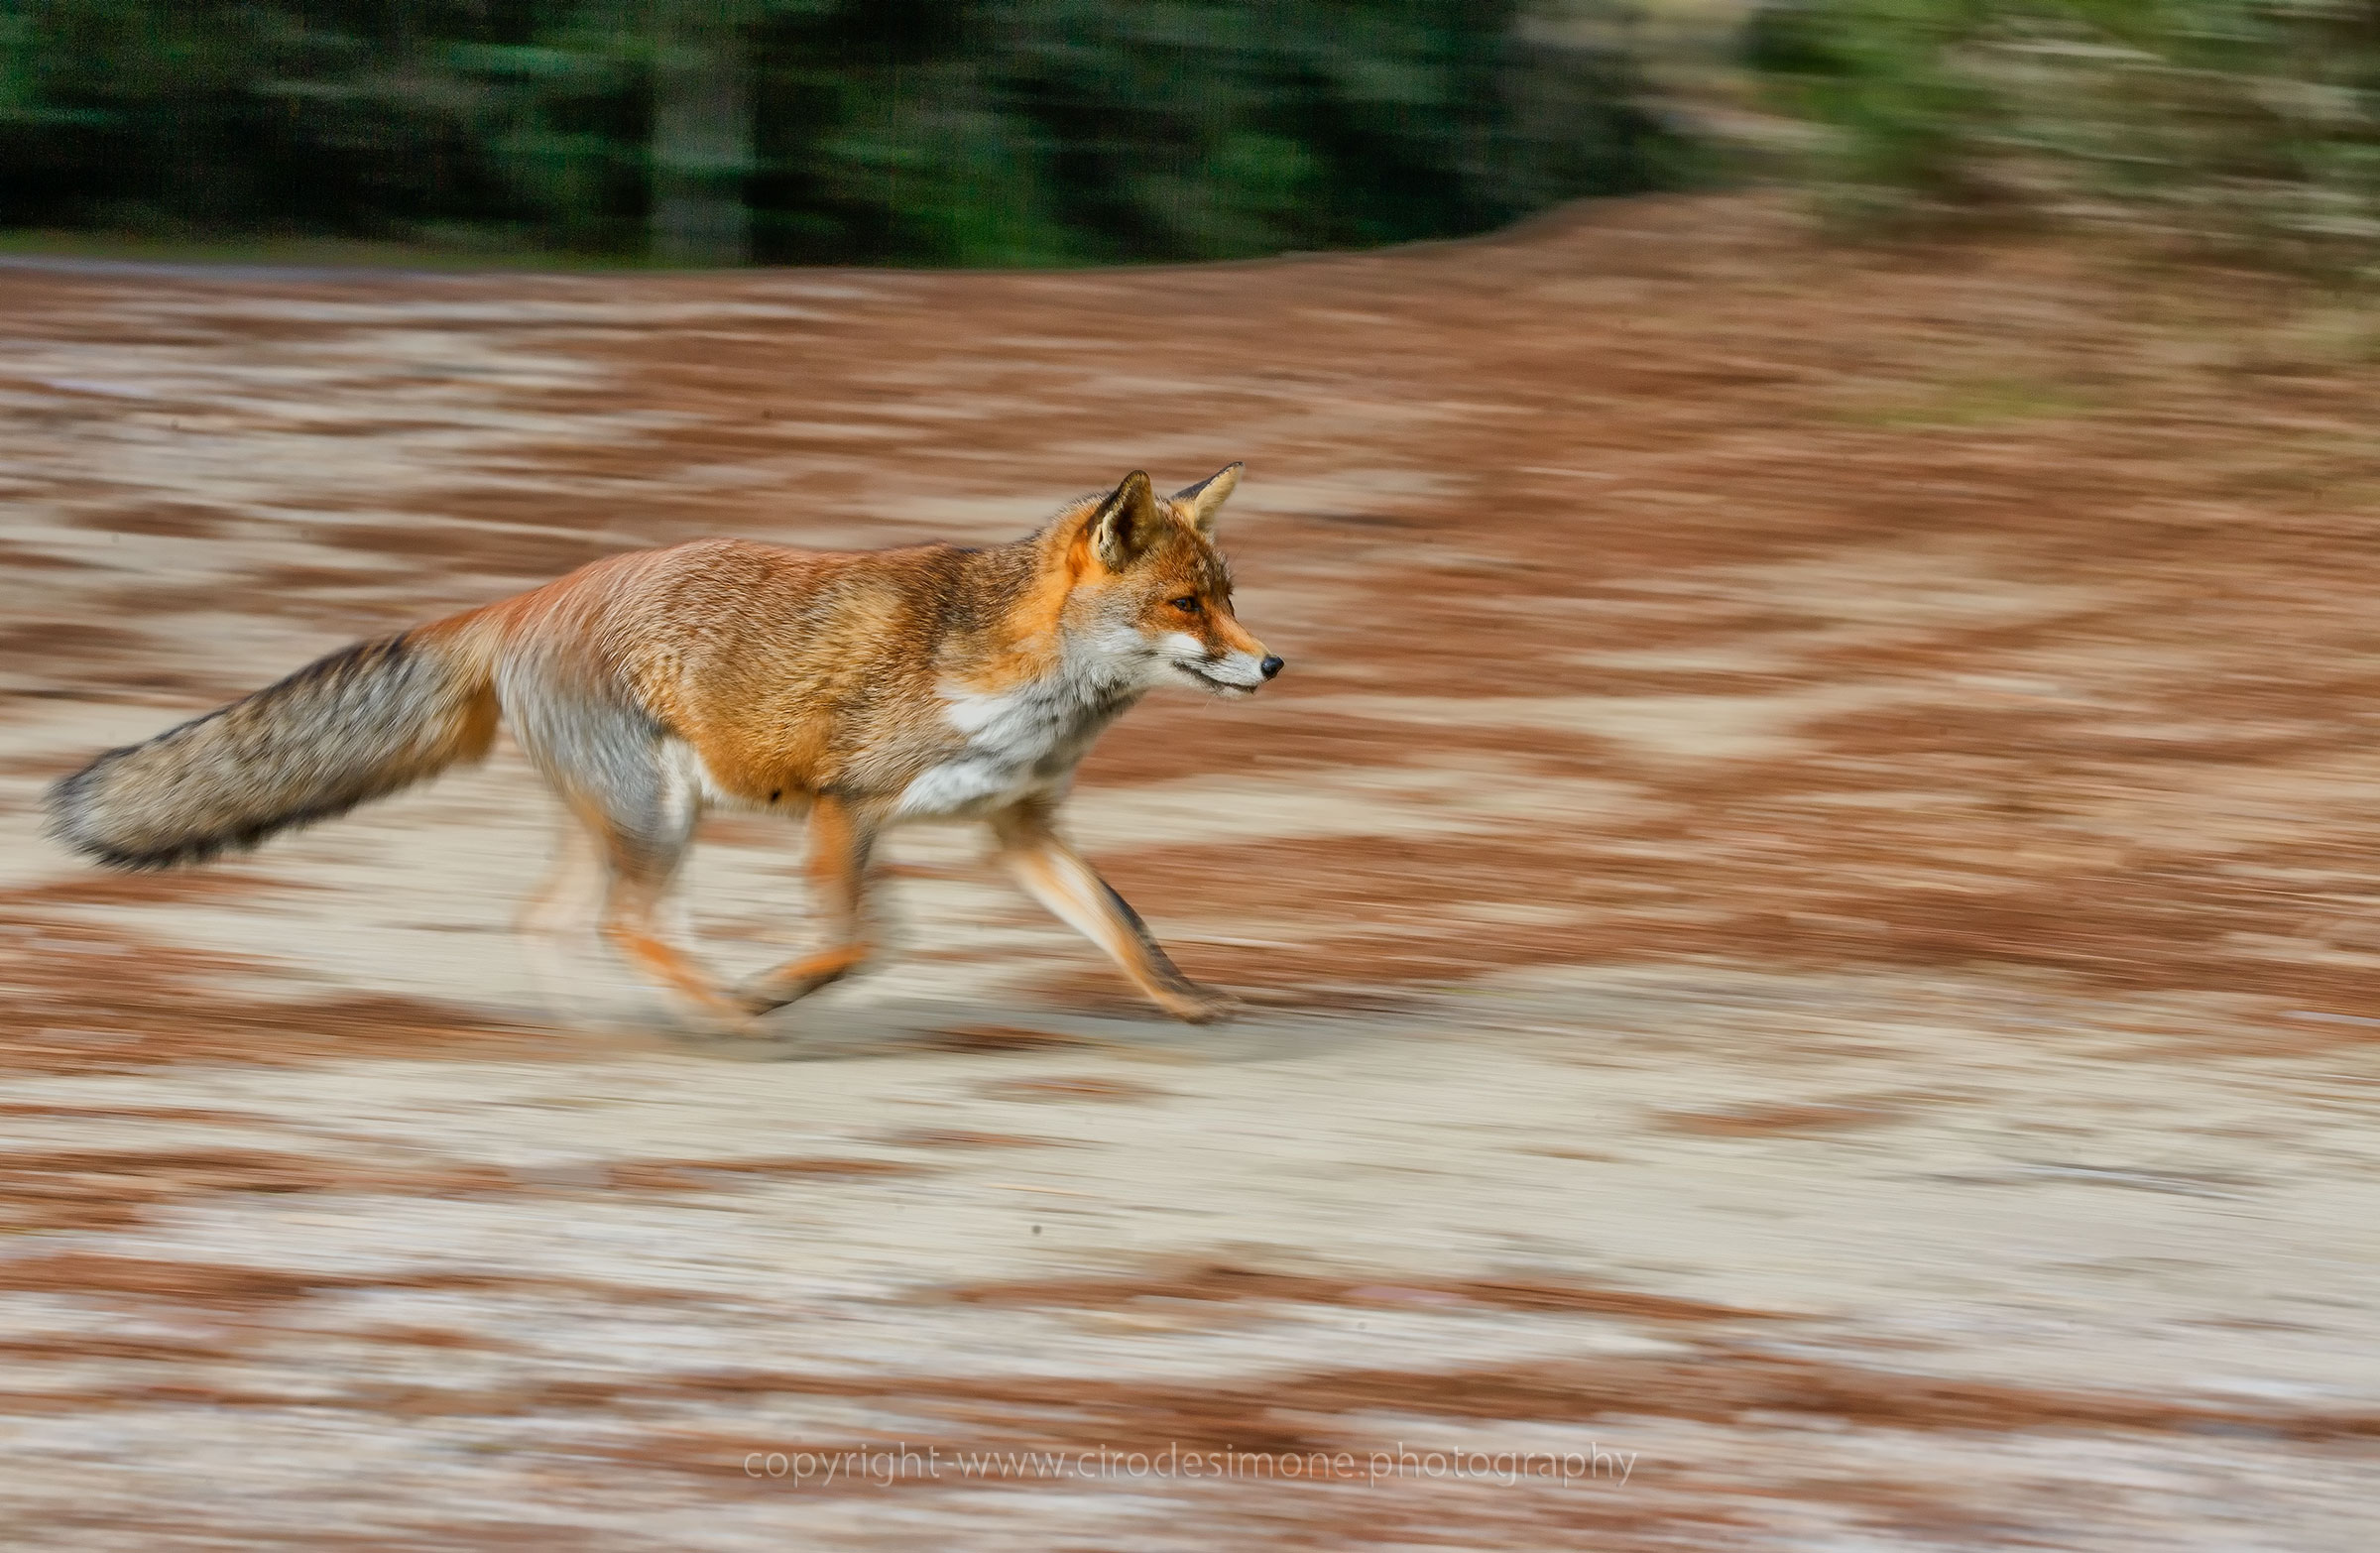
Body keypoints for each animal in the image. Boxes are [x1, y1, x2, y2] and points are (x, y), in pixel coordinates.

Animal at [46, 465, 1282, 1028]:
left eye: (1229, 598)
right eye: (1186, 606)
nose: (1274, 665)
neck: (1016, 680)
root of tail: (524, 598)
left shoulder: (1018, 827)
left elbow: (1125, 928)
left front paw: (1187, 1005)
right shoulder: (847, 804)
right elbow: (859, 943)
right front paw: (774, 995)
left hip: (629, 821)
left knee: (559, 923)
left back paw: (601, 1027)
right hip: (661, 816)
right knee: (621, 924)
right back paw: (707, 1010)